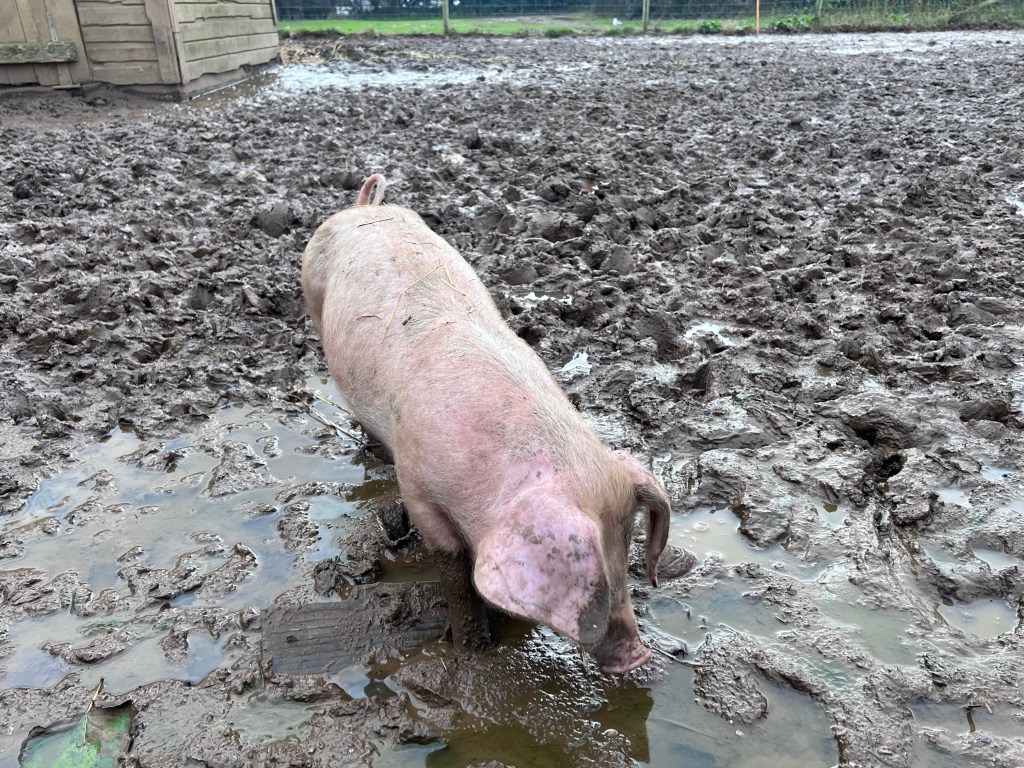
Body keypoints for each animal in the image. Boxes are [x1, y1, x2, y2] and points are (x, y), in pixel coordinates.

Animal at [301, 174, 670, 674]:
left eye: (628, 541)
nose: (637, 654)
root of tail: (360, 208)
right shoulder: (419, 486)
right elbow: (455, 569)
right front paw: (473, 650)